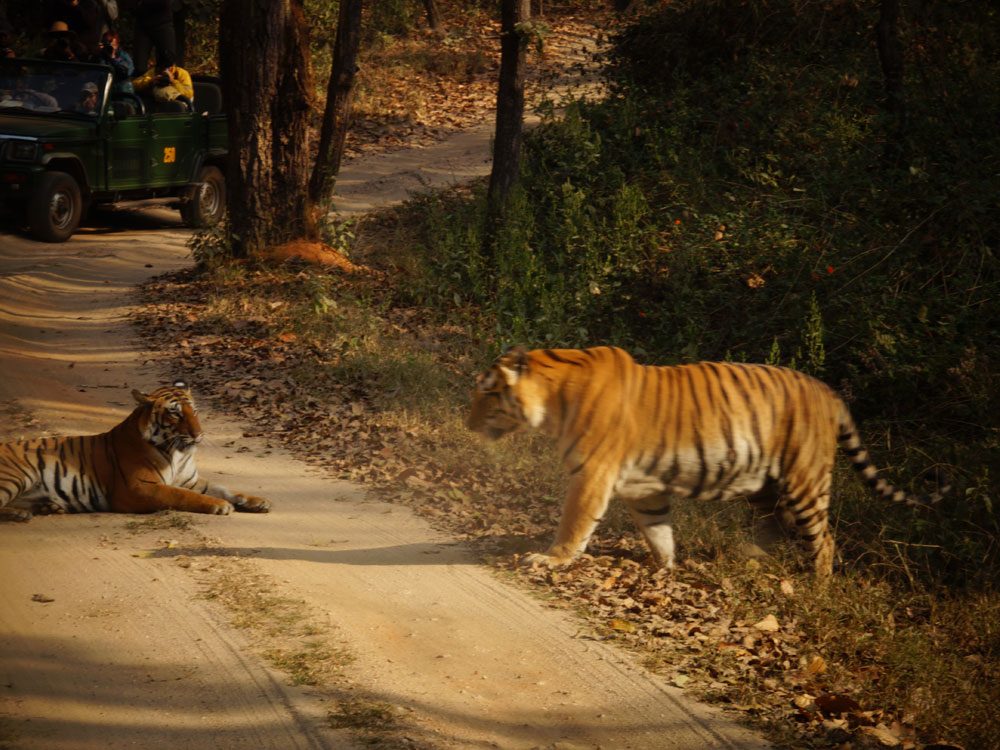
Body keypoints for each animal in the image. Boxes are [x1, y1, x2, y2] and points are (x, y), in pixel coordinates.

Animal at [0, 382, 272, 524]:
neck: (178, 453)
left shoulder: (191, 480)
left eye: (194, 411)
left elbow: (225, 489)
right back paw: (24, 513)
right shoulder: (138, 487)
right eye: (175, 413)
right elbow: (182, 496)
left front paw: (257, 501)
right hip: (15, 476)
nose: (198, 434)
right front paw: (220, 505)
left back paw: (39, 510)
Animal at [464, 348, 940, 580]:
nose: (467, 424)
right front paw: (666, 568)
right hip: (766, 486)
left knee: (824, 541)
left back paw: (817, 588)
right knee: (774, 527)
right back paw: (749, 559)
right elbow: (659, 532)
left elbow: (573, 524)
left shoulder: (592, 475)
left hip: (804, 481)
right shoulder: (644, 488)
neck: (553, 397)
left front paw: (550, 560)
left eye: (487, 392)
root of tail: (830, 393)